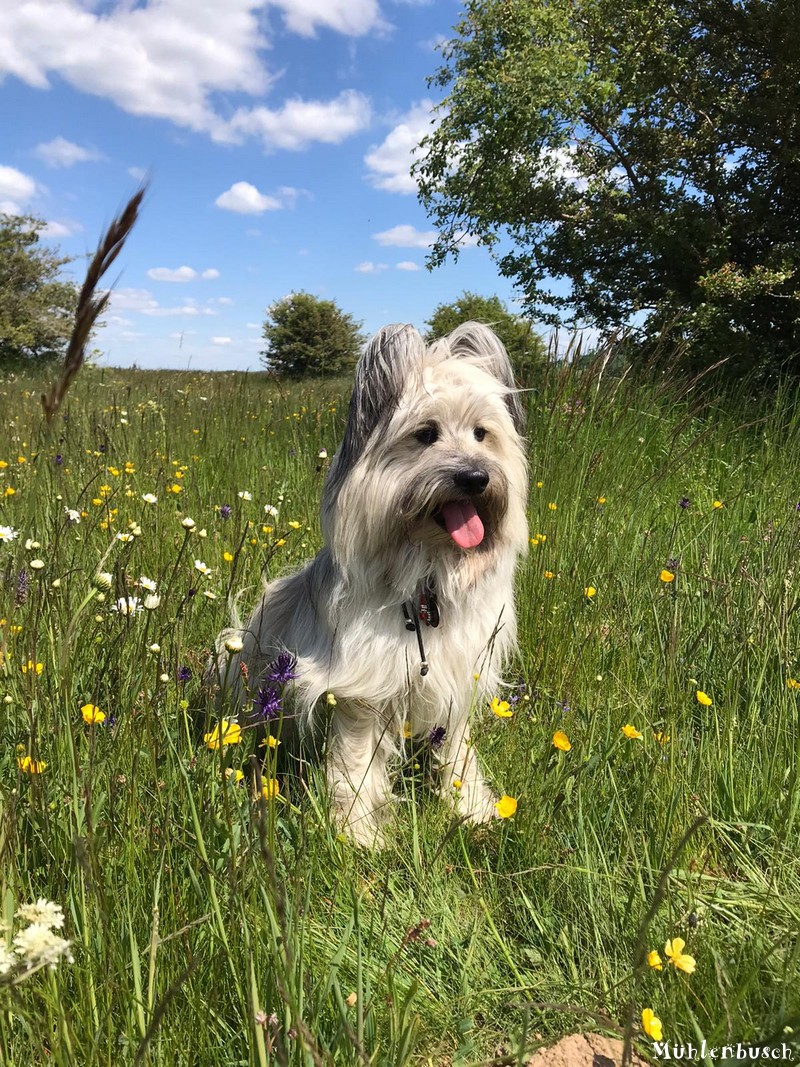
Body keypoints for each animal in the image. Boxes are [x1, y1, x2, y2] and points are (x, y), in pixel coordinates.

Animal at [206, 320, 529, 845]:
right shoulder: (362, 688)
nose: (476, 478)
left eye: (483, 434)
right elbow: (355, 765)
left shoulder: (457, 675)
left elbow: (456, 752)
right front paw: (356, 832)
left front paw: (473, 807)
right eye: (426, 434)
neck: (425, 581)